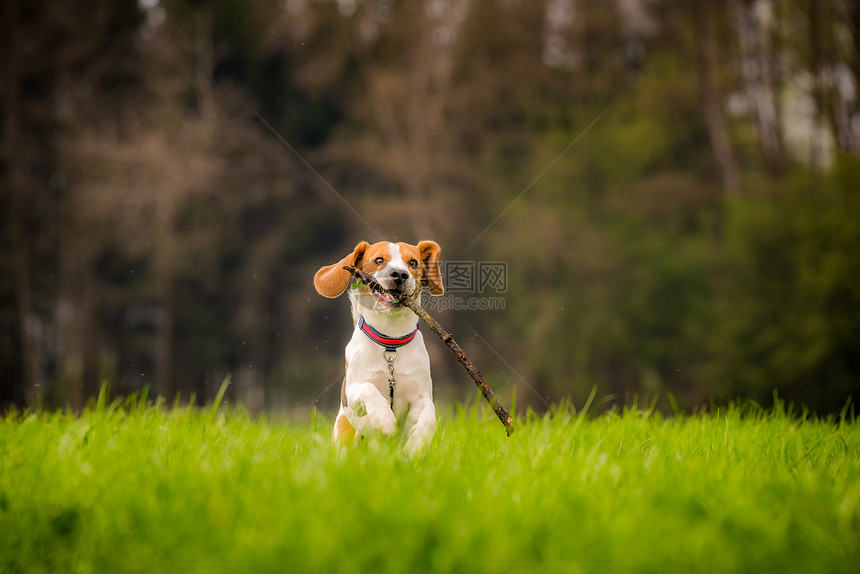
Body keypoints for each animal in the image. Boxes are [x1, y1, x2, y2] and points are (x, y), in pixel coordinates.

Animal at [318, 241, 450, 456]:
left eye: (413, 263)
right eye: (379, 260)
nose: (400, 274)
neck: (391, 343)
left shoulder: (420, 395)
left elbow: (429, 415)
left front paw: (416, 445)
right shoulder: (353, 392)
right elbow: (369, 389)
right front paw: (385, 419)